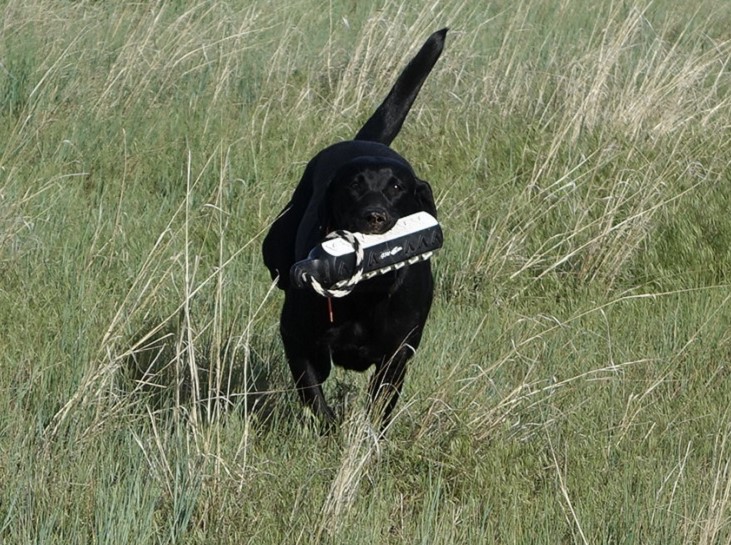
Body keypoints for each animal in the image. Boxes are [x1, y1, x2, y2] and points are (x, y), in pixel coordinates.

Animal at [264, 28, 446, 430]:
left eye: (397, 187)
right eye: (354, 186)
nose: (374, 216)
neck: (367, 292)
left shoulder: (397, 355)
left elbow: (380, 407)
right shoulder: (296, 337)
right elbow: (314, 391)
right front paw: (331, 431)